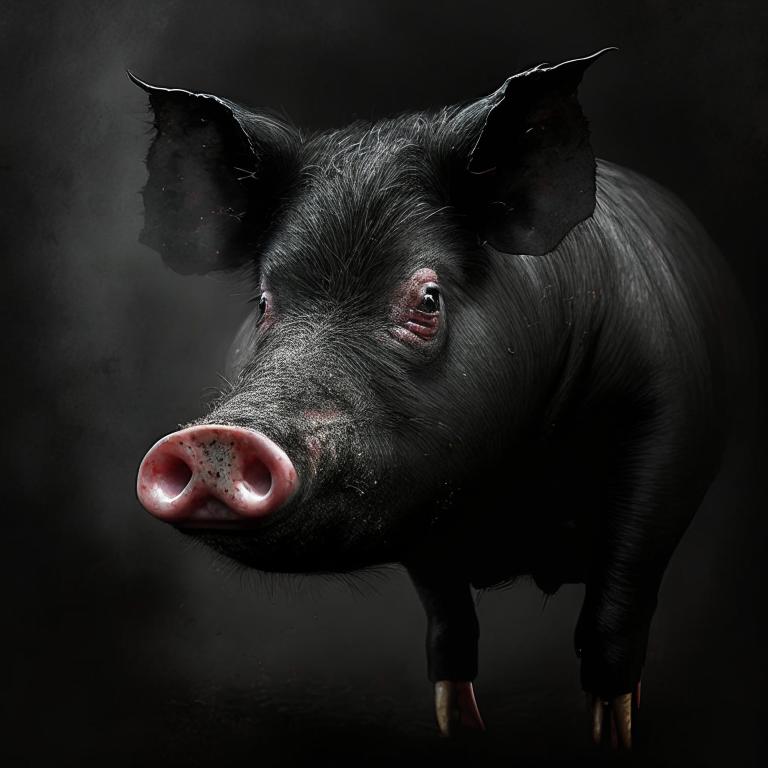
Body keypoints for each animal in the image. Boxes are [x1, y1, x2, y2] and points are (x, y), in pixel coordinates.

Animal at [131, 49, 746, 749]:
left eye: (427, 298)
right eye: (264, 303)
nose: (217, 438)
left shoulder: (668, 439)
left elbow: (616, 609)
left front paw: (614, 737)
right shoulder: (421, 493)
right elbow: (449, 621)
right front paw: (462, 731)